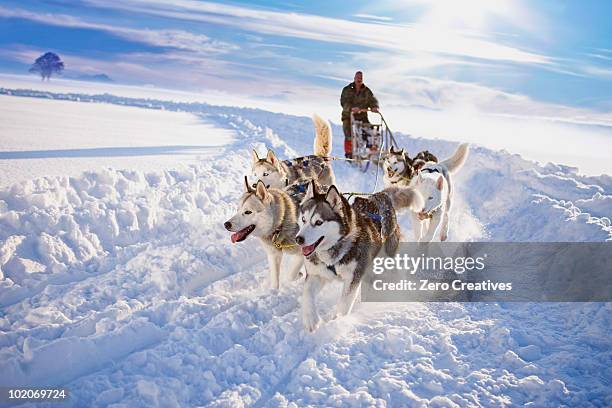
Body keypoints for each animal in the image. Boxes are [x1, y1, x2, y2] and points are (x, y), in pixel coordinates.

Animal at [296, 182, 420, 332]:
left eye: (319, 222)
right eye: (303, 219)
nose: (298, 239)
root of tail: (381, 196)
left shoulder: (353, 277)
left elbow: (344, 304)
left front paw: (337, 324)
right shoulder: (317, 274)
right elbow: (307, 295)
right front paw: (311, 320)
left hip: (386, 259)